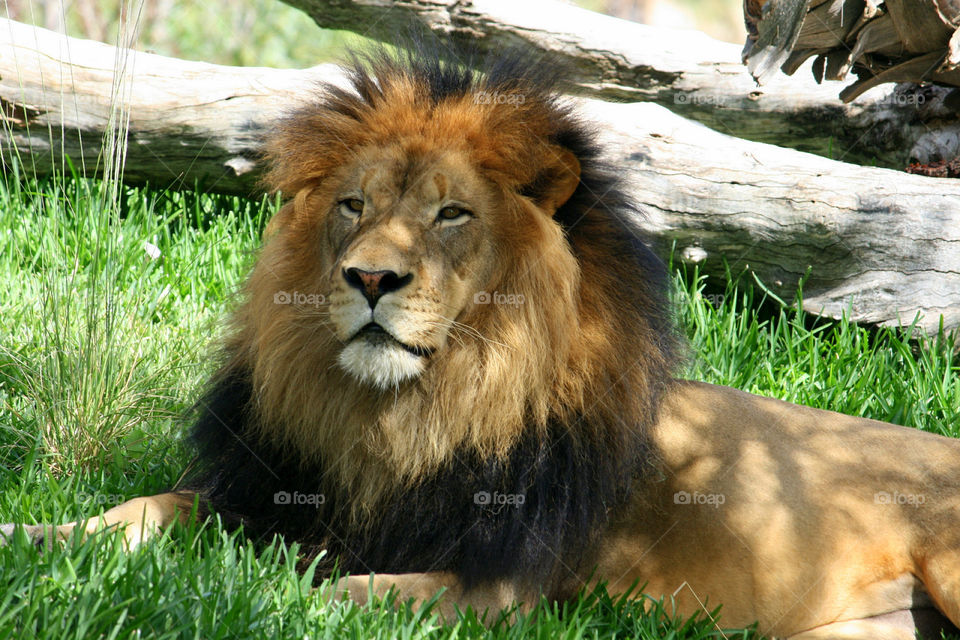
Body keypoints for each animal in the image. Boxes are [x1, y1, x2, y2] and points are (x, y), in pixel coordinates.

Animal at [4, 46, 960, 640]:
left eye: (451, 214)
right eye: (354, 205)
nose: (371, 278)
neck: (408, 412)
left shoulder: (509, 586)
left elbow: (352, 592)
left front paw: (281, 588)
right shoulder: (255, 485)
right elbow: (146, 508)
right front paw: (40, 536)